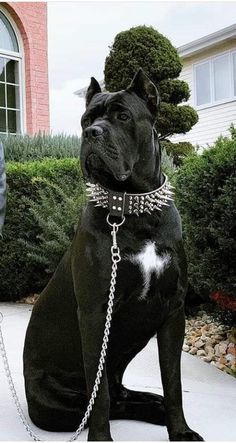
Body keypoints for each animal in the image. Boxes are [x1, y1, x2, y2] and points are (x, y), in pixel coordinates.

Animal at [23, 71, 203, 442]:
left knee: (126, 395)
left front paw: (180, 431)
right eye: (86, 120)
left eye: (122, 116)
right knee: (105, 401)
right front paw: (102, 439)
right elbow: (100, 395)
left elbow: (173, 382)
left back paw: (155, 406)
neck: (133, 208)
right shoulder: (95, 314)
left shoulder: (173, 311)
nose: (92, 133)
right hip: (53, 406)